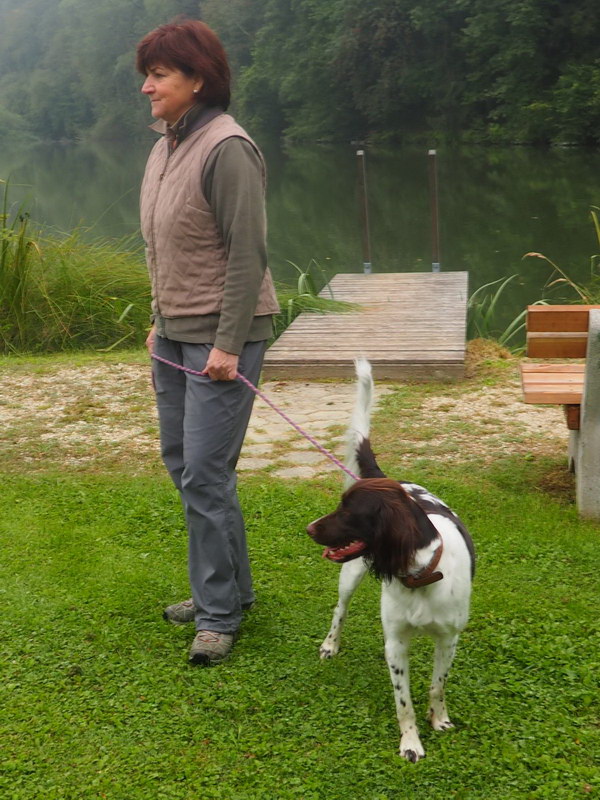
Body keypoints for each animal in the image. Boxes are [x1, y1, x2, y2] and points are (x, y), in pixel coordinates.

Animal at [307, 359, 475, 762]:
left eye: (349, 512)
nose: (309, 528)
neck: (422, 574)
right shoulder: (396, 642)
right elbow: (404, 703)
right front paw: (410, 742)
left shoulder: (449, 639)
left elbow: (437, 686)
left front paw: (439, 720)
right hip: (350, 575)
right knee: (340, 609)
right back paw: (330, 644)